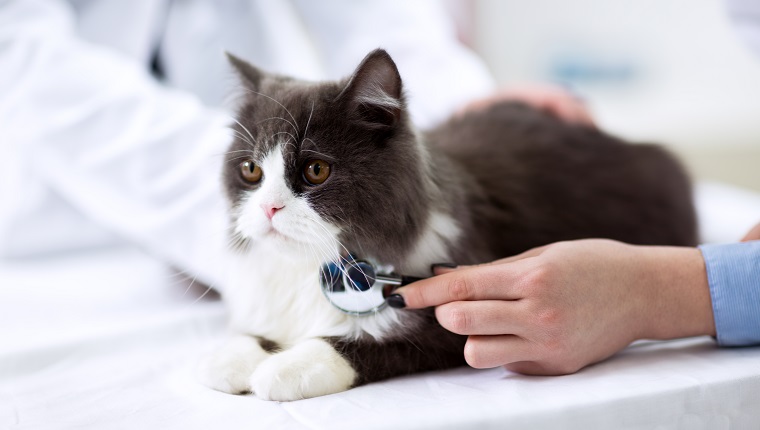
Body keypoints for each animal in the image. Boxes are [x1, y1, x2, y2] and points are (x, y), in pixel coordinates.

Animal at [199, 48, 696, 402]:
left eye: (315, 171)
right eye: (250, 171)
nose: (269, 209)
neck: (311, 266)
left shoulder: (454, 322)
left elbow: (368, 344)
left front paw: (287, 366)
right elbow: (251, 332)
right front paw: (236, 355)